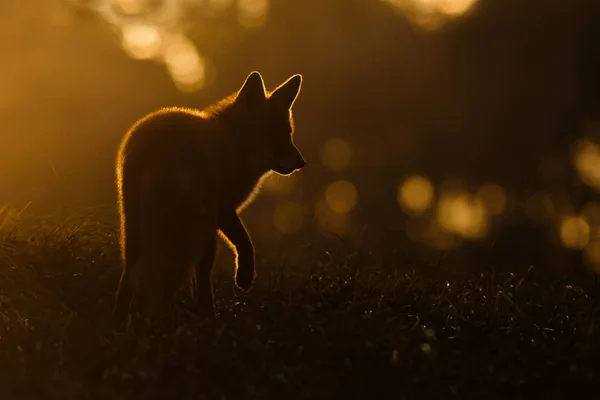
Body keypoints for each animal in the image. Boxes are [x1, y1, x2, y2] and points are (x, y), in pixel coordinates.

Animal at [113, 69, 304, 318]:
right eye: (272, 134)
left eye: (288, 133)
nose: (301, 162)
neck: (232, 143)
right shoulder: (223, 208)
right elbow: (245, 243)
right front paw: (244, 277)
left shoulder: (222, 214)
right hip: (203, 233)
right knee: (197, 277)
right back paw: (206, 318)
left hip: (133, 231)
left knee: (129, 277)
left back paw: (121, 318)